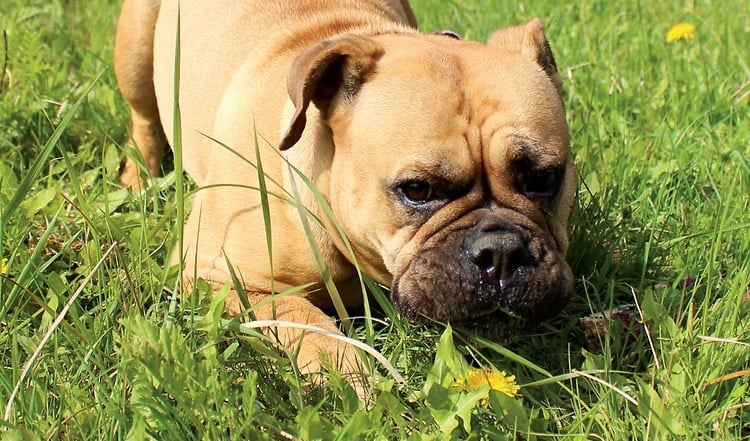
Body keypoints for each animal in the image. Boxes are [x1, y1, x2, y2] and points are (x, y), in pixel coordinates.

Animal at [114, 0, 580, 392]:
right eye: (417, 190)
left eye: (544, 178)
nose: (501, 251)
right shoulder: (216, 275)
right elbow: (302, 319)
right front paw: (354, 376)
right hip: (136, 51)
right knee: (143, 118)